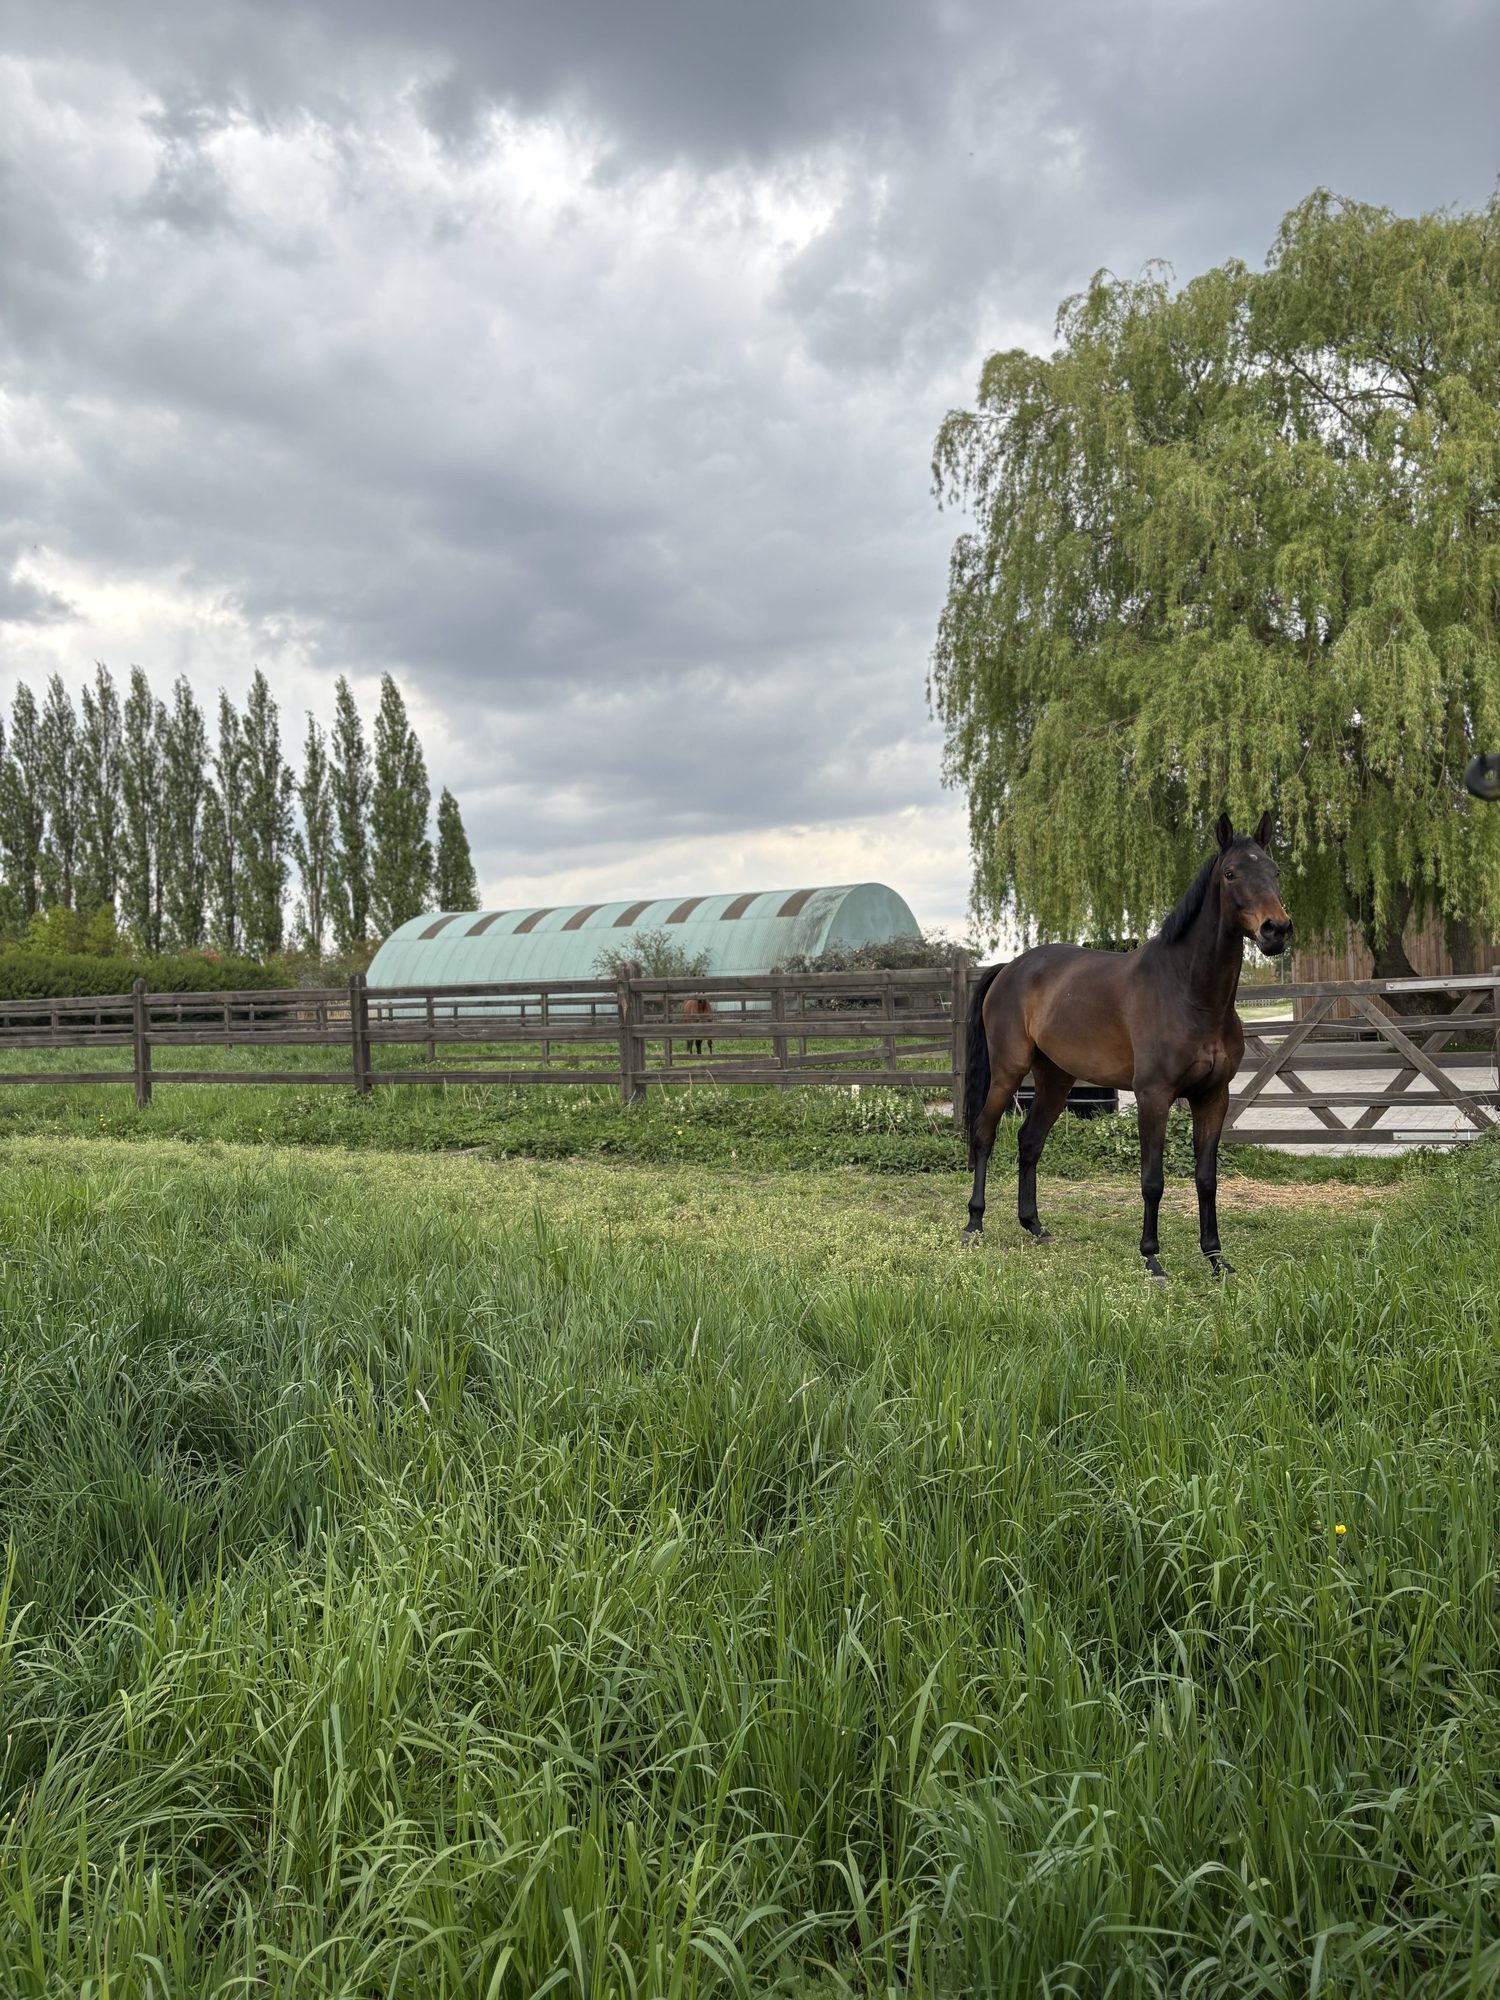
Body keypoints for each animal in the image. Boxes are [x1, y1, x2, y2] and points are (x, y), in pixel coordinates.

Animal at [961, 813, 1292, 1281]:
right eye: (1231, 874)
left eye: (1275, 871)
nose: (1276, 930)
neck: (1189, 993)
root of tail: (1010, 967)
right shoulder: (1153, 1096)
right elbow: (1152, 1180)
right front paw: (1152, 1258)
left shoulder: (1214, 1097)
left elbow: (1206, 1178)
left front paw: (1216, 1259)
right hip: (1008, 1072)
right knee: (984, 1134)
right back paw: (974, 1223)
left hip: (1055, 1079)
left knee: (1029, 1140)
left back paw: (1035, 1226)